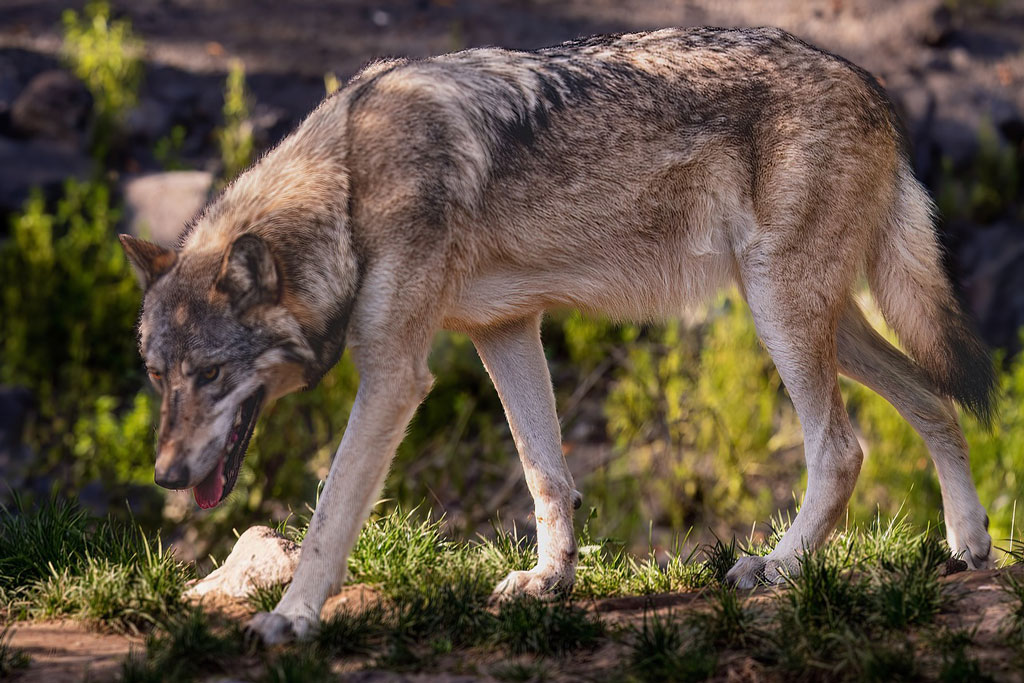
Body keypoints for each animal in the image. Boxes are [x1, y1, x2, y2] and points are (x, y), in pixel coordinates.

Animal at [117, 26, 991, 643]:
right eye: (158, 376)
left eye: (209, 374)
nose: (166, 475)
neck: (352, 186)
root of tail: (871, 84)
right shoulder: (504, 328)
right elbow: (546, 473)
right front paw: (550, 581)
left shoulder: (397, 375)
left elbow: (331, 512)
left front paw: (294, 616)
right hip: (817, 317)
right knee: (934, 399)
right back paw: (969, 544)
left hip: (781, 313)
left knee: (841, 449)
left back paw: (776, 566)